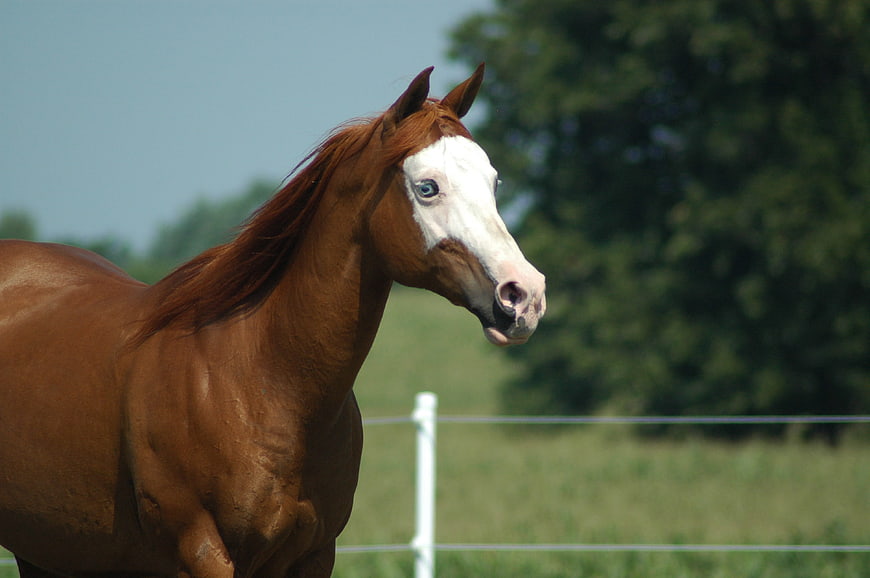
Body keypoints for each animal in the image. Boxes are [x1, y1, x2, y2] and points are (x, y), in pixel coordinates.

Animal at [0, 64, 545, 577]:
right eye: (427, 187)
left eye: (494, 182)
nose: (525, 295)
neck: (263, 381)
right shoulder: (202, 553)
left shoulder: (314, 555)